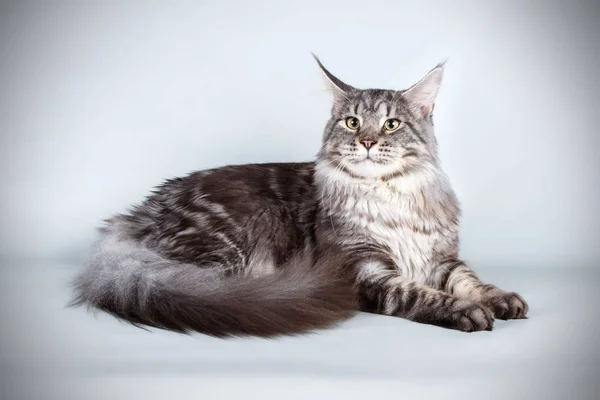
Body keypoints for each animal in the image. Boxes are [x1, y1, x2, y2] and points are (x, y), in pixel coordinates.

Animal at [72, 55, 528, 338]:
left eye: (392, 125)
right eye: (352, 122)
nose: (366, 141)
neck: (389, 196)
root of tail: (135, 216)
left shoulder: (441, 258)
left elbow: (471, 281)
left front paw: (501, 299)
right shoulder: (366, 270)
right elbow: (419, 294)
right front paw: (464, 311)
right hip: (230, 244)